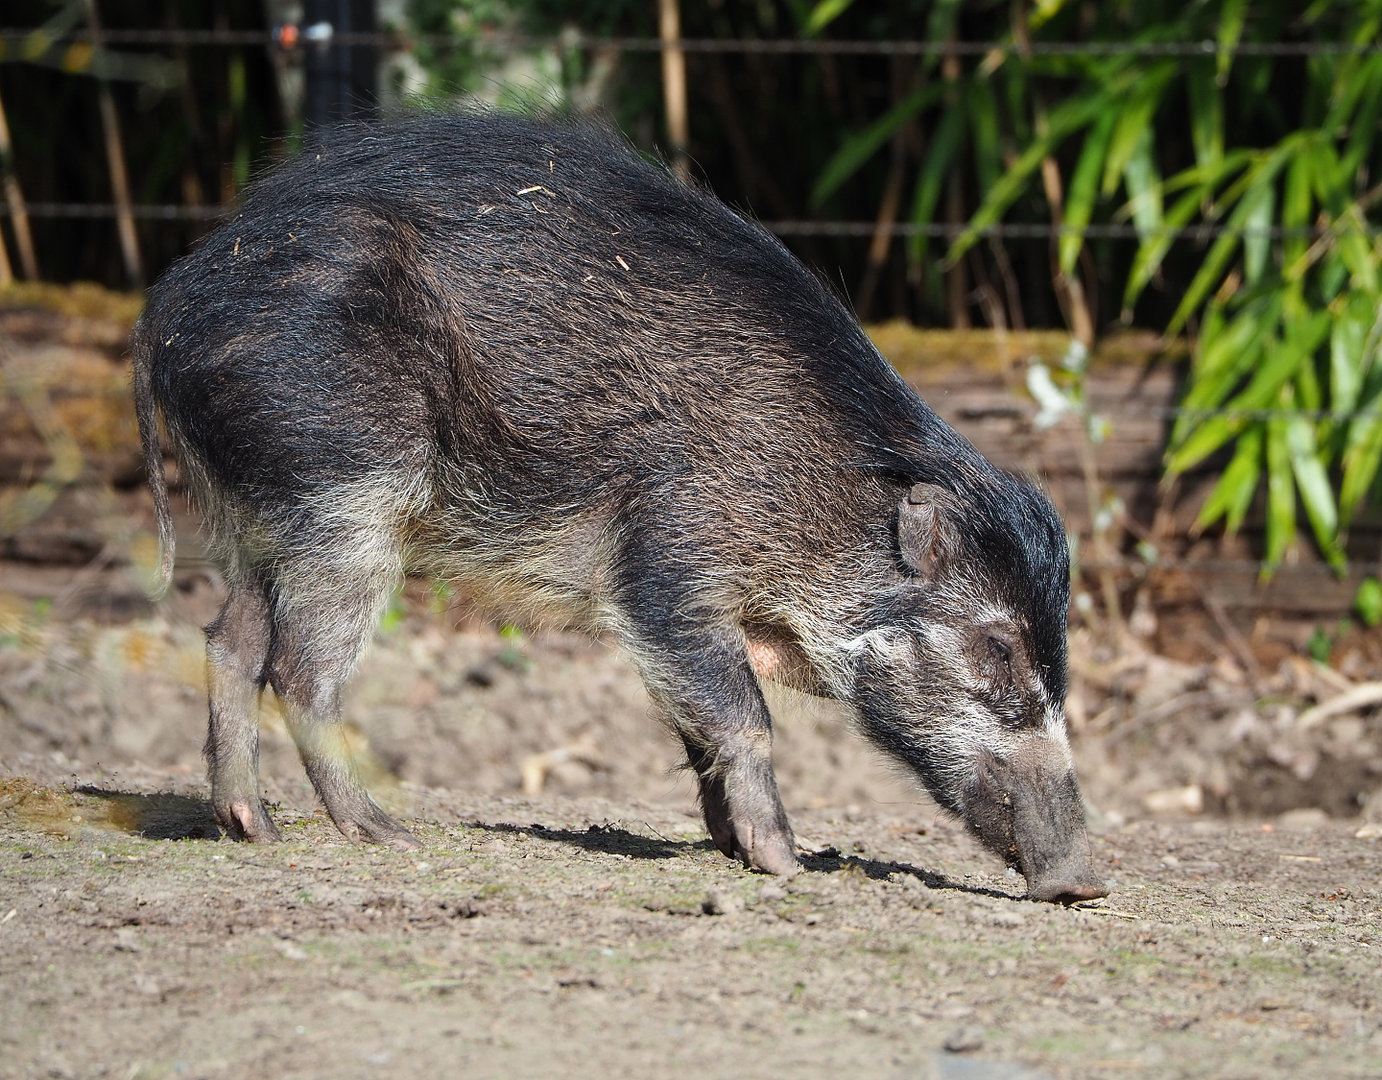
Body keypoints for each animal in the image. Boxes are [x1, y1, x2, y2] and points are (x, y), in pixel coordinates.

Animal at [131, 110, 1107, 903]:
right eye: (998, 645)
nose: (1085, 883)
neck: (816, 494)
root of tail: (168, 307)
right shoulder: (669, 558)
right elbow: (742, 718)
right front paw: (787, 864)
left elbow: (699, 727)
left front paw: (737, 849)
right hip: (346, 495)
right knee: (299, 669)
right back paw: (382, 834)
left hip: (266, 511)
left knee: (228, 642)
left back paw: (251, 827)